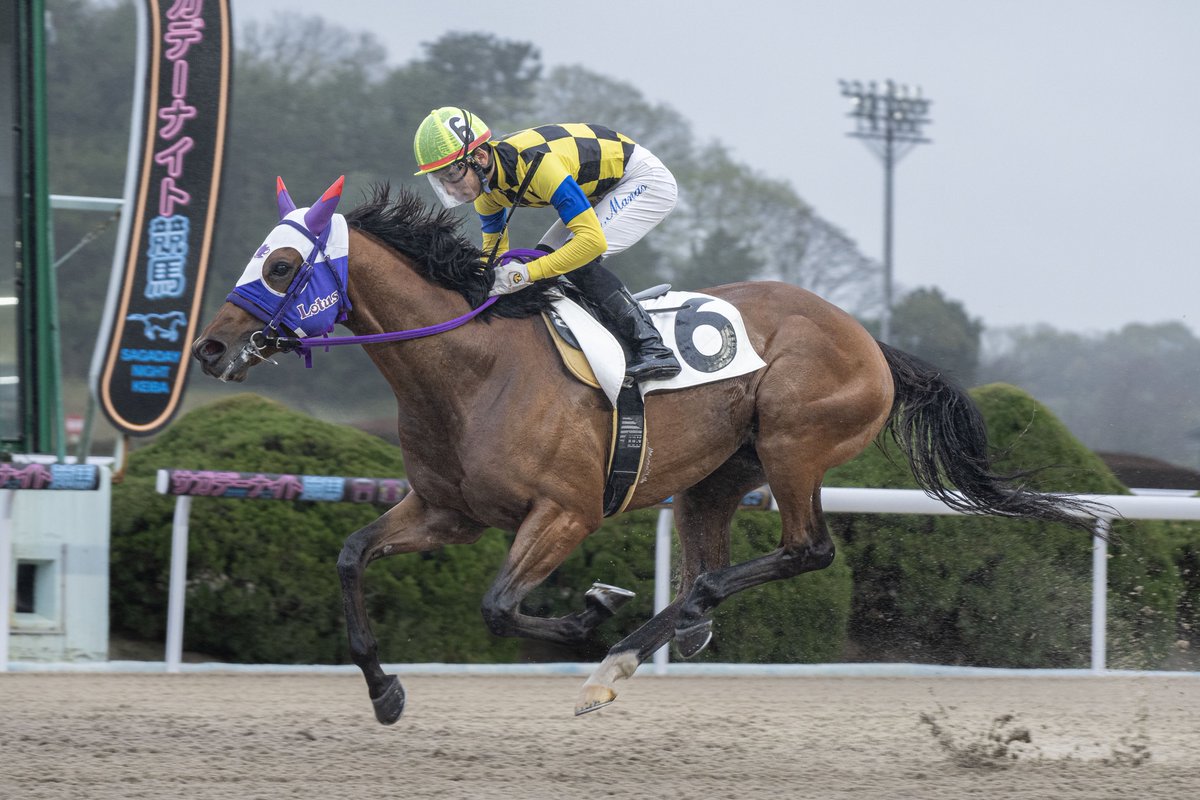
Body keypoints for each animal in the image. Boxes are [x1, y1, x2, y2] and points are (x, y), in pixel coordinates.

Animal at [192, 176, 1098, 724]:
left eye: (281, 264)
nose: (210, 348)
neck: (471, 367)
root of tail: (868, 340)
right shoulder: (448, 511)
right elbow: (351, 555)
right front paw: (384, 692)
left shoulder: (564, 513)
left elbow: (497, 605)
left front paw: (591, 610)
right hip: (720, 475)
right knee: (714, 559)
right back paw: (655, 642)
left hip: (794, 442)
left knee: (803, 550)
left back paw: (634, 646)